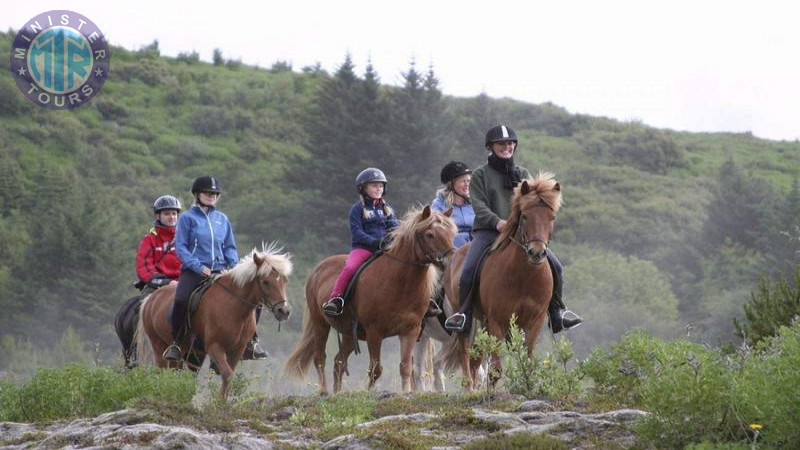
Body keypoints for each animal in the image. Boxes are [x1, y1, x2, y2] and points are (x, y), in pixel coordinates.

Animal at [136, 244, 292, 400]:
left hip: (191, 353)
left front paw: (221, 401)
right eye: (265, 281)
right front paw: (217, 401)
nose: (283, 311)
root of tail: (150, 298)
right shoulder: (215, 347)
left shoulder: (237, 349)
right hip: (159, 346)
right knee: (163, 372)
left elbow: (229, 376)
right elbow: (228, 375)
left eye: (284, 280)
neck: (233, 307)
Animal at [284, 206, 454, 396]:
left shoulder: (411, 331)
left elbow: (405, 367)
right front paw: (371, 392)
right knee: (320, 358)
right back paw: (324, 391)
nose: (450, 259)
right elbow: (376, 369)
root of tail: (318, 269)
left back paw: (338, 392)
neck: (399, 283)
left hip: (349, 333)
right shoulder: (374, 332)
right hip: (320, 324)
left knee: (339, 362)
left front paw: (406, 392)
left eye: (451, 232)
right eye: (430, 234)